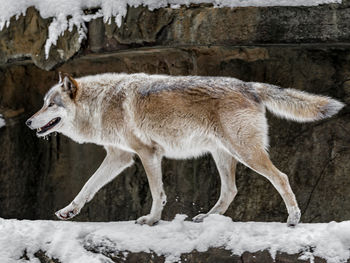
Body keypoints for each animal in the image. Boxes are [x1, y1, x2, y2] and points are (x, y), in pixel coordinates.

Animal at [26, 71, 344, 227]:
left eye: (51, 104)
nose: (28, 122)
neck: (102, 103)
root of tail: (250, 86)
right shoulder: (120, 156)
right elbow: (87, 187)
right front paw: (69, 211)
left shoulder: (148, 153)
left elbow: (158, 193)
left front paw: (152, 220)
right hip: (223, 155)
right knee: (231, 190)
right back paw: (207, 217)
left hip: (245, 153)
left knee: (281, 177)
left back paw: (293, 218)